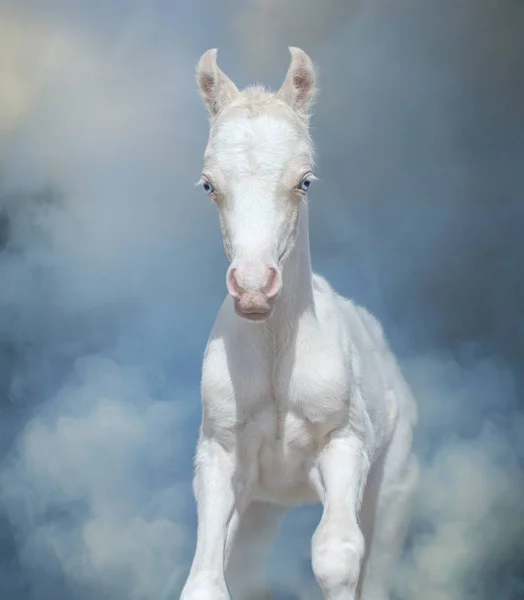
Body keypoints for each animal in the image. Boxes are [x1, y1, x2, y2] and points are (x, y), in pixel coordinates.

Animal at [180, 48, 418, 600]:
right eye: (208, 185)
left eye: (304, 181)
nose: (252, 287)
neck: (276, 359)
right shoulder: (220, 455)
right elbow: (205, 581)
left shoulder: (345, 441)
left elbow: (337, 555)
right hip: (261, 507)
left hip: (394, 485)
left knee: (378, 566)